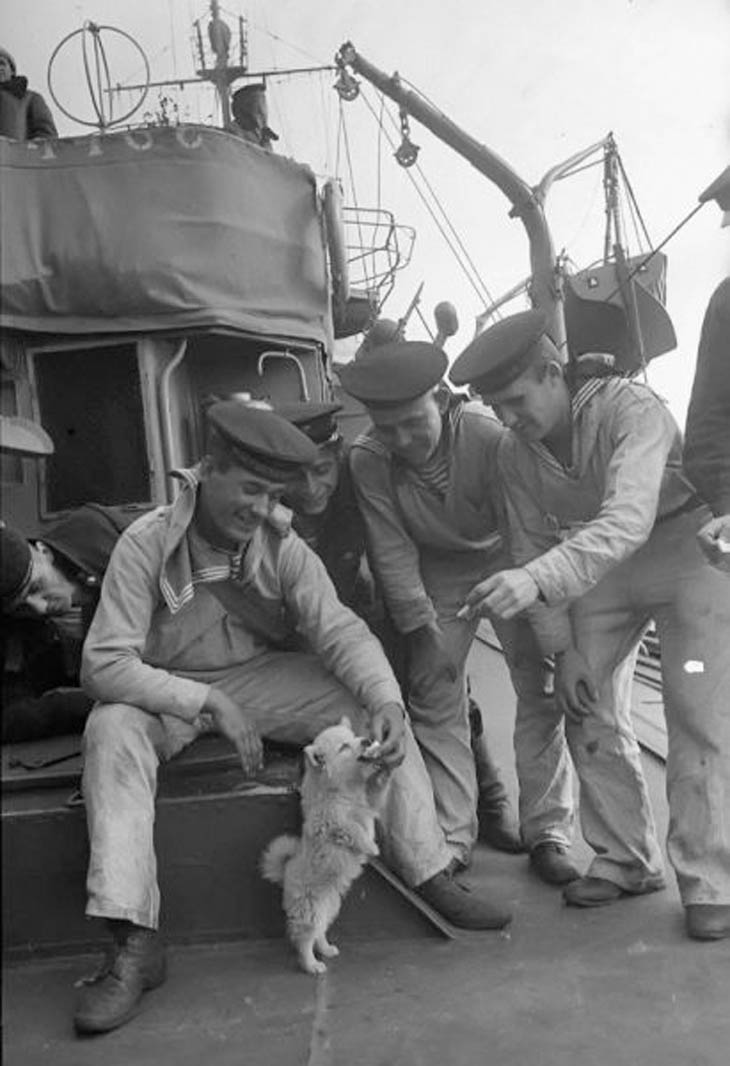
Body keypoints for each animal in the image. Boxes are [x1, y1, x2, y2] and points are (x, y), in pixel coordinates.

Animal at [258, 716, 390, 976]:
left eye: (355, 736)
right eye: (344, 747)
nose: (366, 740)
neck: (346, 788)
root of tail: (286, 871)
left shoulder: (369, 803)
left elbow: (376, 795)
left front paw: (385, 769)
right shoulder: (331, 821)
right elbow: (353, 830)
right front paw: (370, 847)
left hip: (329, 907)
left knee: (319, 931)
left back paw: (326, 949)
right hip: (309, 909)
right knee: (304, 940)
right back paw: (311, 965)